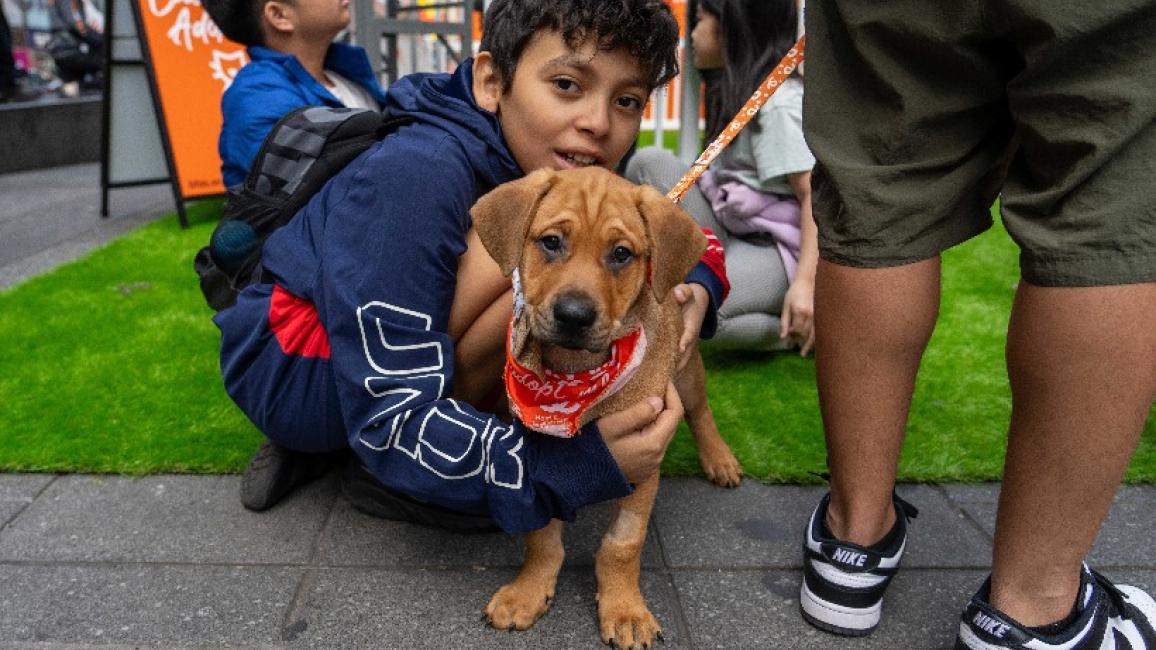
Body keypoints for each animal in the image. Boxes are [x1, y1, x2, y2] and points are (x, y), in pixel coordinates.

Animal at [473, 167, 744, 647]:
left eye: (621, 254)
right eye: (551, 242)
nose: (574, 316)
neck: (576, 373)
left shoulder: (646, 451)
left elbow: (623, 544)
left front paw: (625, 609)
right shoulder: (541, 451)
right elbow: (540, 531)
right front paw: (528, 591)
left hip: (688, 372)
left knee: (701, 412)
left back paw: (719, 458)